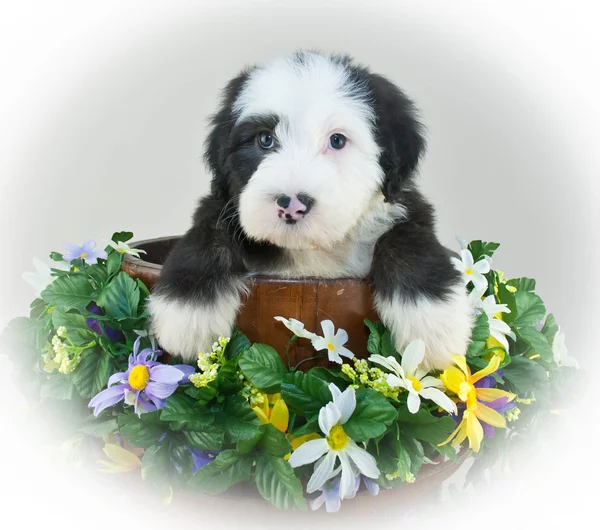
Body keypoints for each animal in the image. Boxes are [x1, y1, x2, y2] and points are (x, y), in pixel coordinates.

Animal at [150, 51, 474, 370]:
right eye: (264, 139)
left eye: (337, 140)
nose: (291, 204)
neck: (313, 249)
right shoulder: (226, 204)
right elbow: (208, 233)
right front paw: (187, 313)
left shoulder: (401, 207)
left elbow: (408, 241)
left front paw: (433, 322)